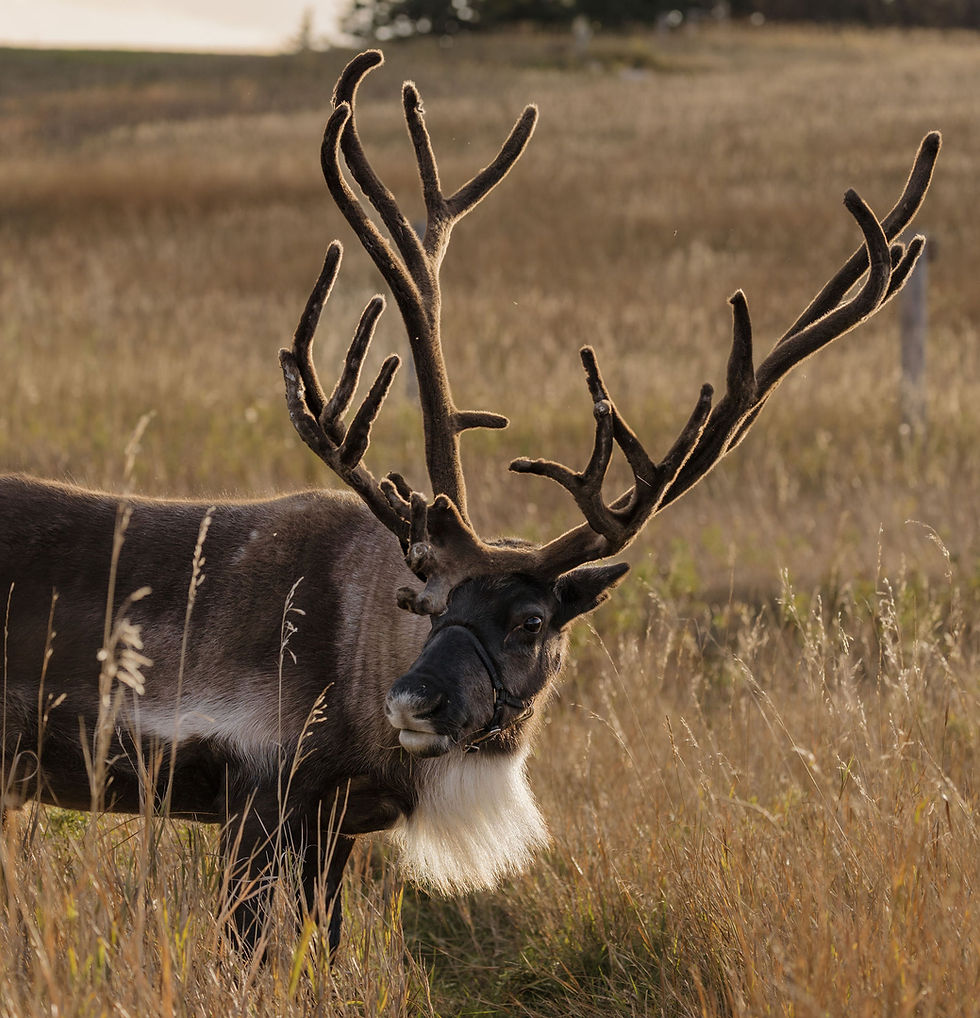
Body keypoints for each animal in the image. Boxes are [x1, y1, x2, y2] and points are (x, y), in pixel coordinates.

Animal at [0, 48, 939, 957]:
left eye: (530, 621)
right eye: (431, 601)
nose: (413, 702)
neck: (357, 654)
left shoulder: (334, 823)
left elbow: (315, 952)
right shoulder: (260, 796)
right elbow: (248, 958)